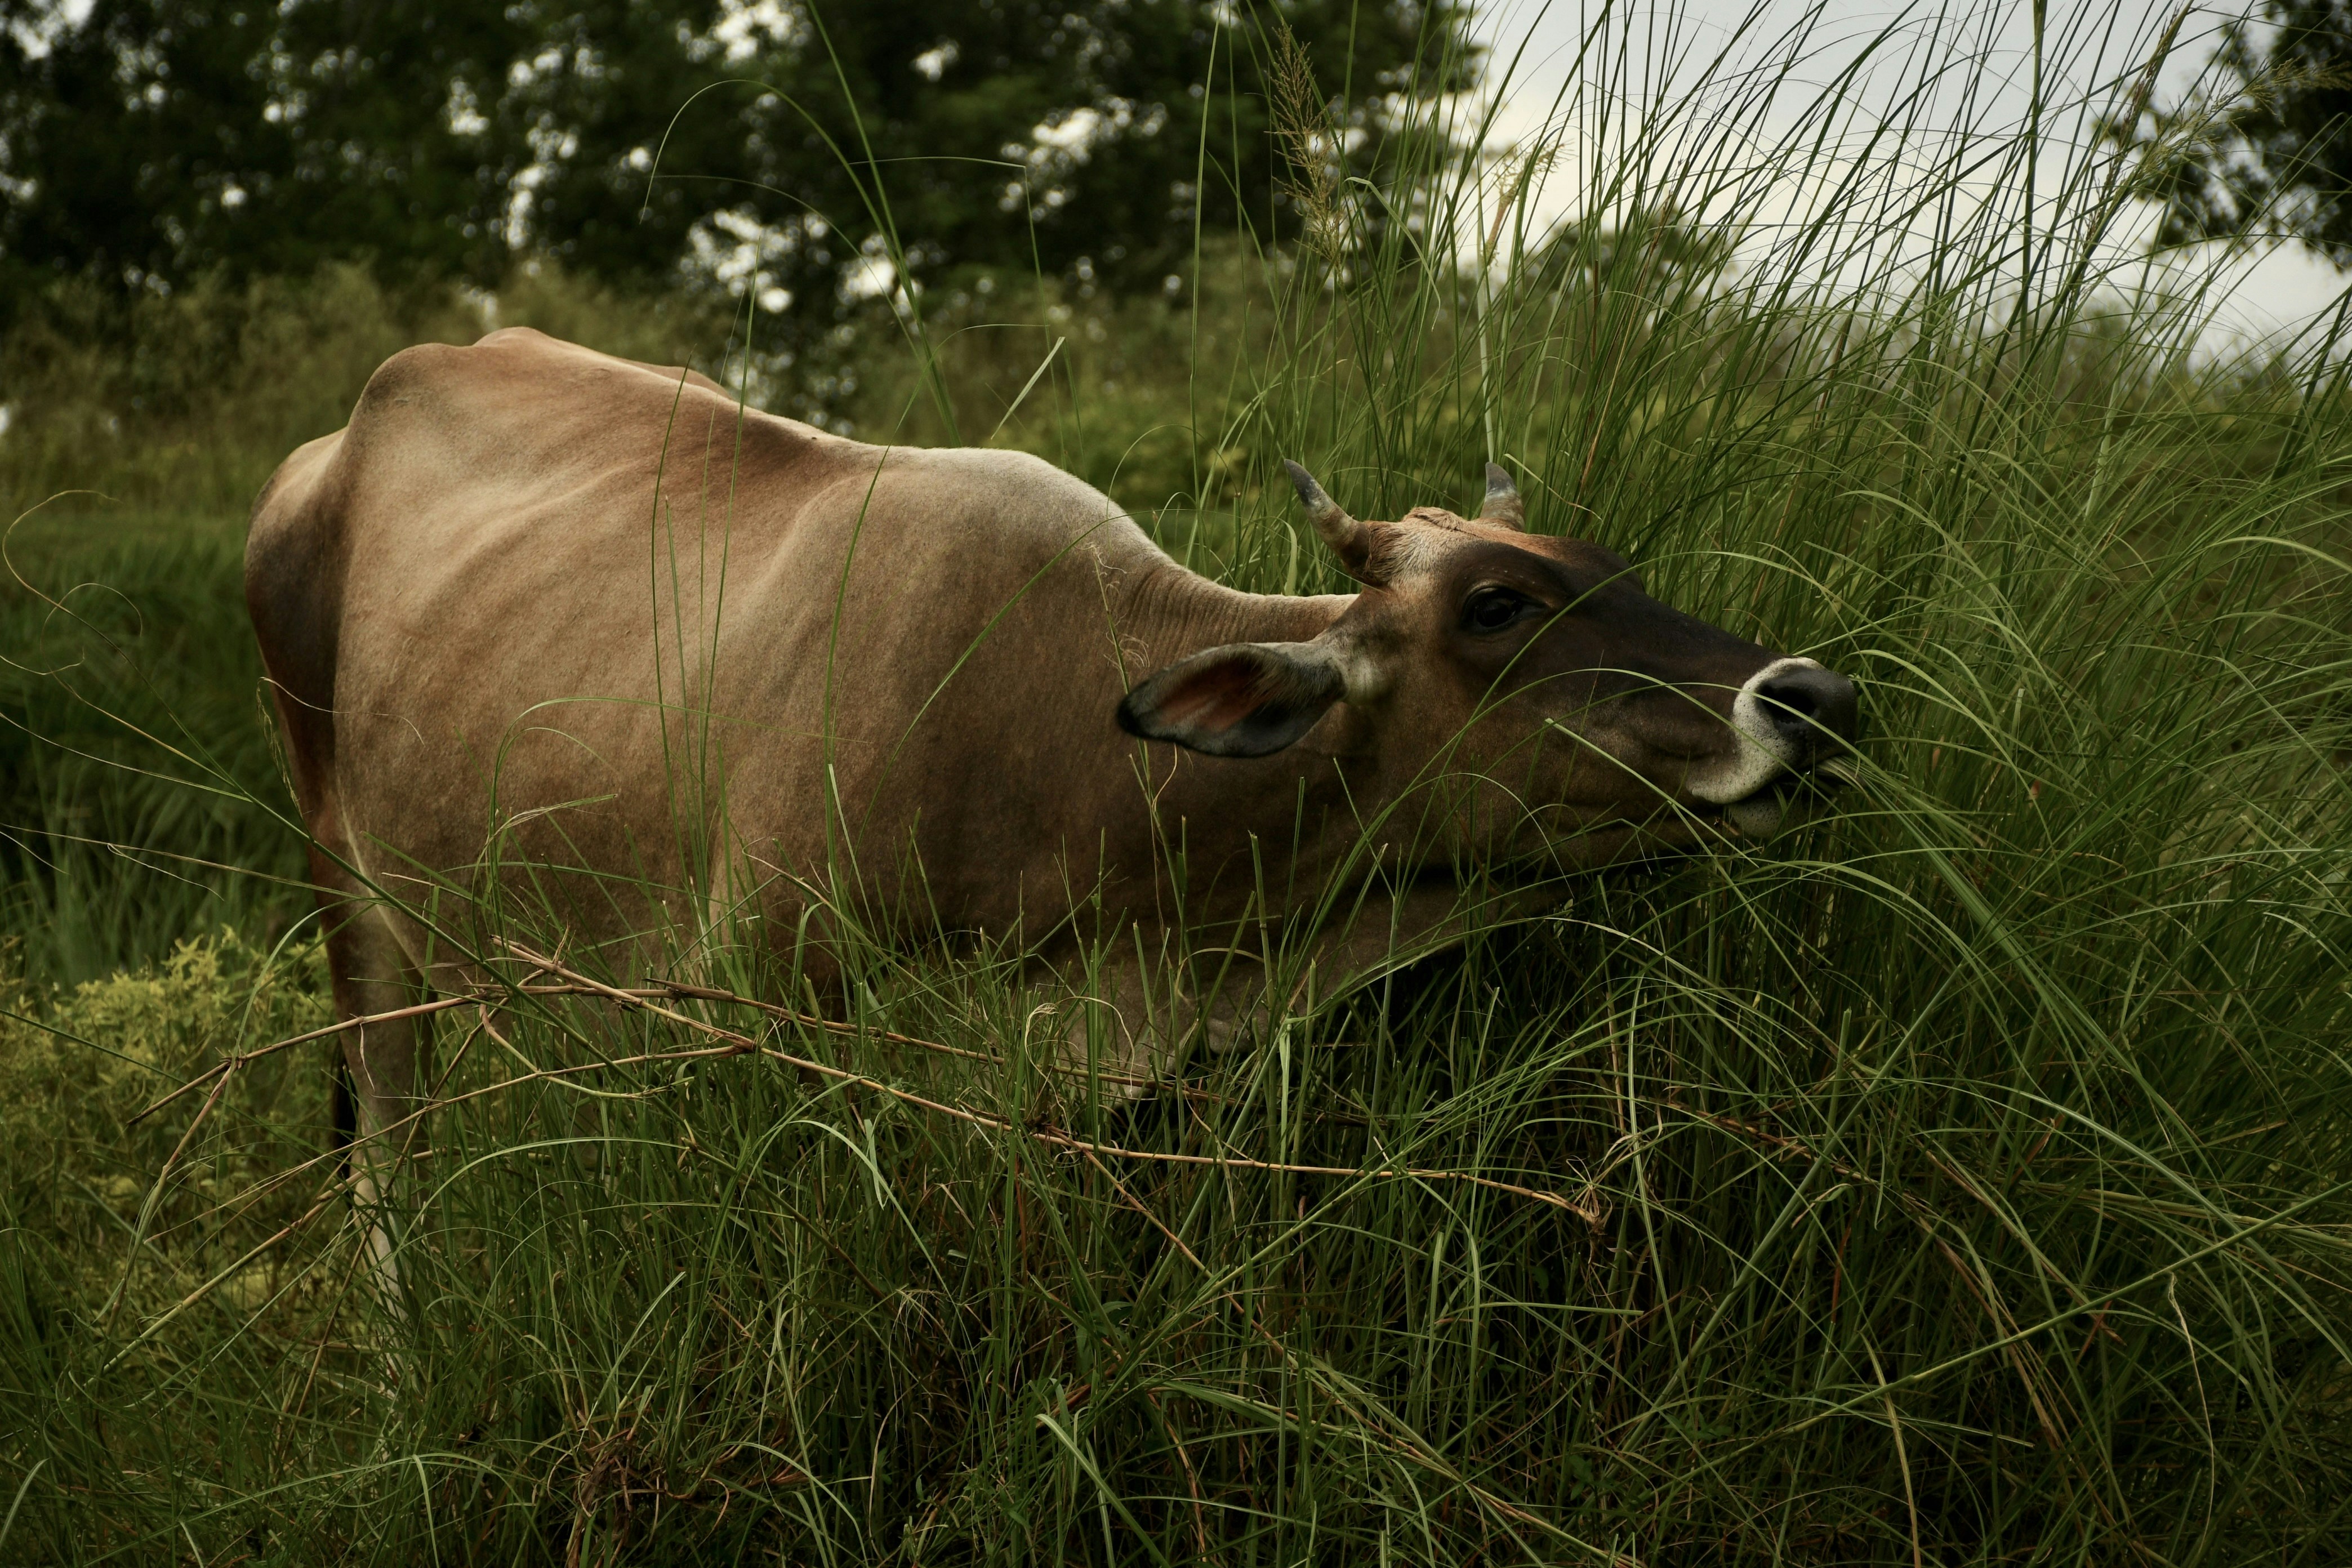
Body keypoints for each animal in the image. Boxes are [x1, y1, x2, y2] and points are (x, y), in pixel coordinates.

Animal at [246, 327, 1855, 1208]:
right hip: (353, 905)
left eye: (1612, 567)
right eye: (1496, 605)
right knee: (387, 1163)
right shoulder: (751, 1023)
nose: (1815, 696)